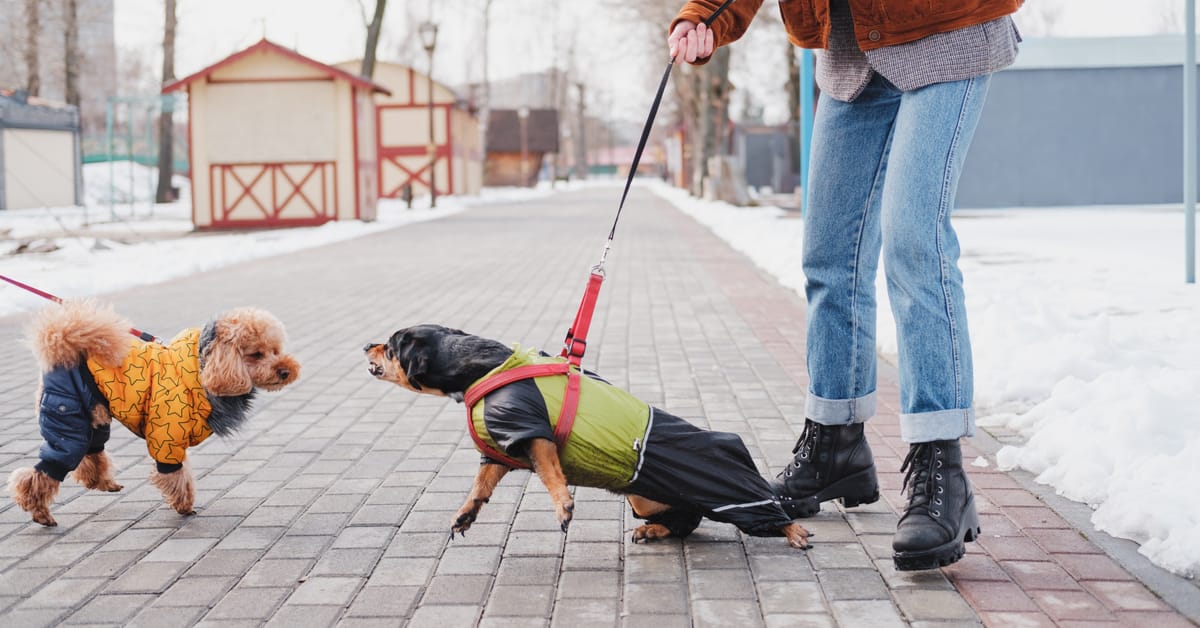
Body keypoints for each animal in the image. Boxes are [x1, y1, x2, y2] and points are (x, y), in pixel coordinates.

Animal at [364, 326, 811, 547]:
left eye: (391, 346)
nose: (367, 344)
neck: (481, 367)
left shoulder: (532, 433)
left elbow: (550, 474)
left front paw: (564, 507)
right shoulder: (502, 448)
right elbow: (480, 486)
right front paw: (465, 515)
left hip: (732, 491)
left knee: (768, 513)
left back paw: (794, 532)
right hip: (646, 498)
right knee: (686, 521)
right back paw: (652, 531)